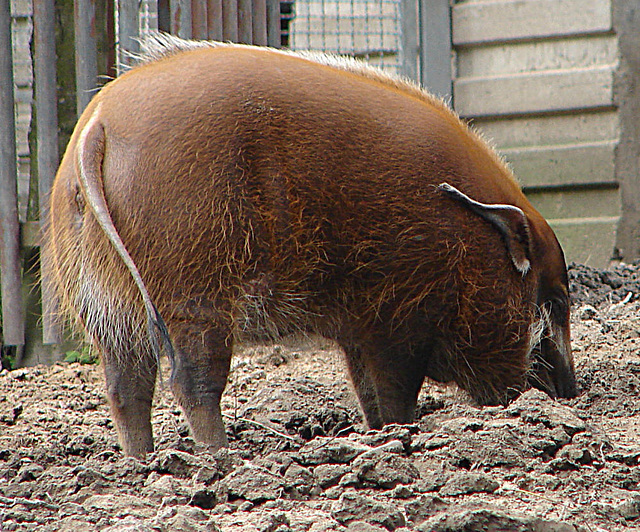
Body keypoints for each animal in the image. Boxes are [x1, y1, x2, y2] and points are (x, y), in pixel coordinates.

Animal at [42, 33, 576, 458]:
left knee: (126, 390)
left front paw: (380, 436)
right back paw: (221, 460)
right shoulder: (399, 320)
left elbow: (369, 395)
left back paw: (142, 463)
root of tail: (100, 125)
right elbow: (396, 393)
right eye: (552, 300)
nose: (569, 394)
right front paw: (403, 436)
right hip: (192, 295)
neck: (464, 241)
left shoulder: (360, 329)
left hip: (106, 309)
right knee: (192, 383)